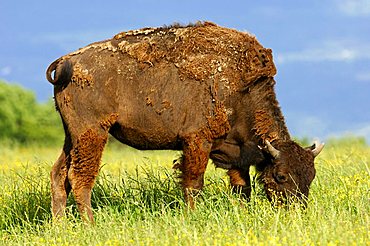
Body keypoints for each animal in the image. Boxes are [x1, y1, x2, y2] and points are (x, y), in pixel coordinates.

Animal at [46, 21, 324, 222]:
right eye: (281, 176)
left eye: (310, 176)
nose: (297, 211)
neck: (241, 89)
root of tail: (67, 60)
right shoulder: (197, 142)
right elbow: (193, 184)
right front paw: (192, 216)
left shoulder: (236, 154)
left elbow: (241, 187)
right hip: (92, 133)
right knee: (79, 177)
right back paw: (90, 224)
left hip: (72, 136)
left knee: (59, 175)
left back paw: (61, 225)